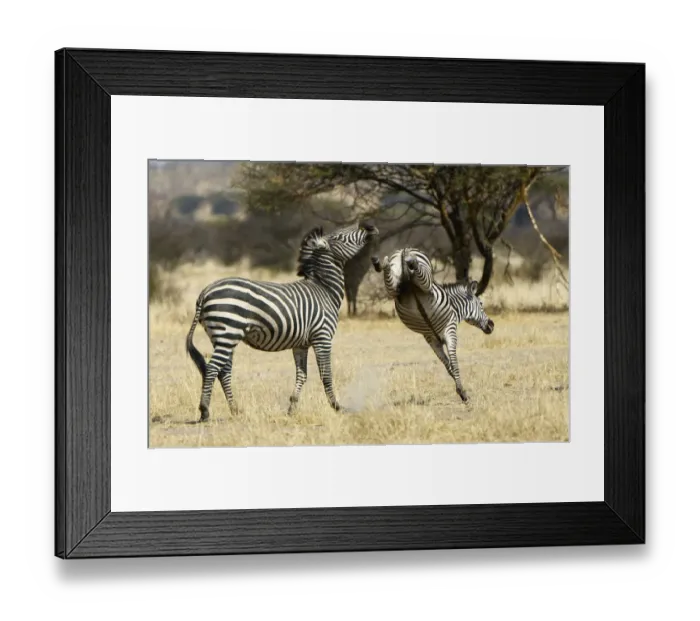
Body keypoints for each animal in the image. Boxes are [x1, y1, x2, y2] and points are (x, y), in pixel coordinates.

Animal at [186, 221, 379, 422]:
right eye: (340, 236)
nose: (369, 226)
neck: (324, 289)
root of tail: (205, 292)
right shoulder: (323, 337)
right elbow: (326, 374)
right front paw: (336, 407)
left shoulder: (301, 344)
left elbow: (302, 375)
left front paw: (292, 408)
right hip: (228, 333)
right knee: (212, 368)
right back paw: (205, 411)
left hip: (222, 337)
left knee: (223, 371)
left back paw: (235, 409)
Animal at [371, 247, 494, 404]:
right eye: (481, 304)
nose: (492, 325)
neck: (454, 307)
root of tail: (403, 250)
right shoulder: (450, 330)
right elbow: (454, 363)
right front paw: (463, 394)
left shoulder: (432, 340)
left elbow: (448, 366)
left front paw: (460, 391)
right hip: (425, 282)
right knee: (418, 268)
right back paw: (410, 259)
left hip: (394, 286)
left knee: (388, 271)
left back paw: (380, 261)